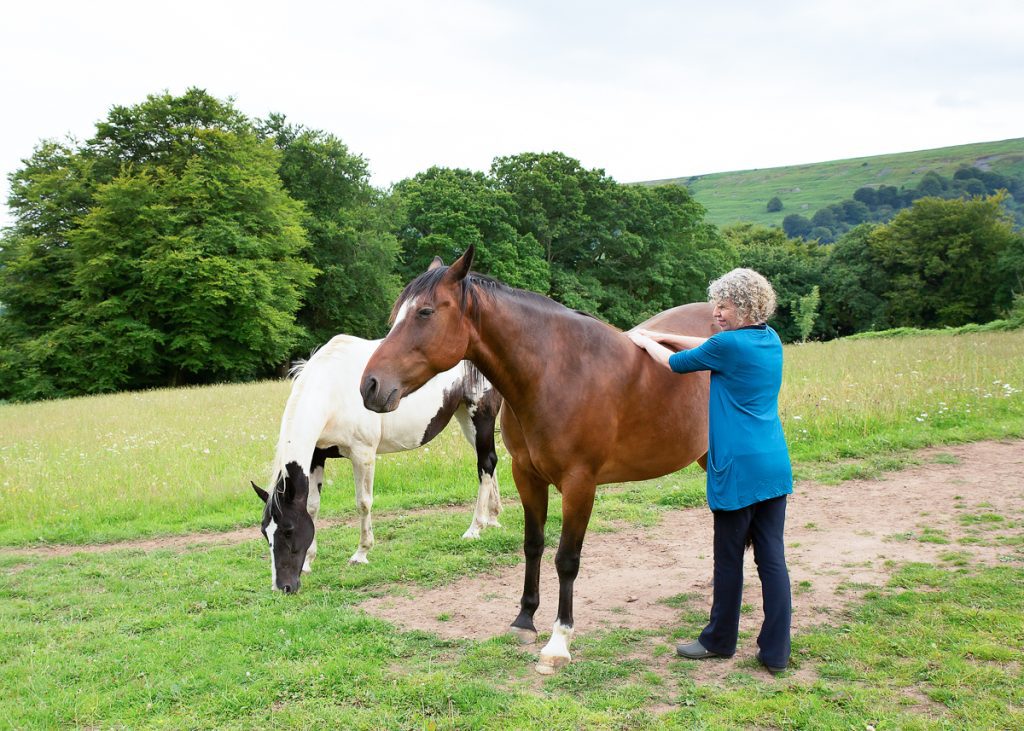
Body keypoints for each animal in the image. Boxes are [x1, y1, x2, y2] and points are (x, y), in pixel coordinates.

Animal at [252, 330, 502, 594]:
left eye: (288, 530)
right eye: (265, 532)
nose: (283, 586)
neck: (332, 390)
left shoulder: (363, 455)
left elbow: (363, 503)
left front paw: (361, 553)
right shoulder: (316, 456)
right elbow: (312, 506)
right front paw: (309, 561)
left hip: (480, 415)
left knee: (485, 465)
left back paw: (475, 528)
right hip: (465, 418)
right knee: (489, 463)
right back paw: (493, 518)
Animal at [360, 246, 719, 674]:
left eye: (425, 312)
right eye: (397, 313)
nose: (370, 385)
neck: (554, 372)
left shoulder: (580, 485)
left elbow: (567, 559)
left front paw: (558, 642)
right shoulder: (526, 475)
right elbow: (533, 545)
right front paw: (524, 620)